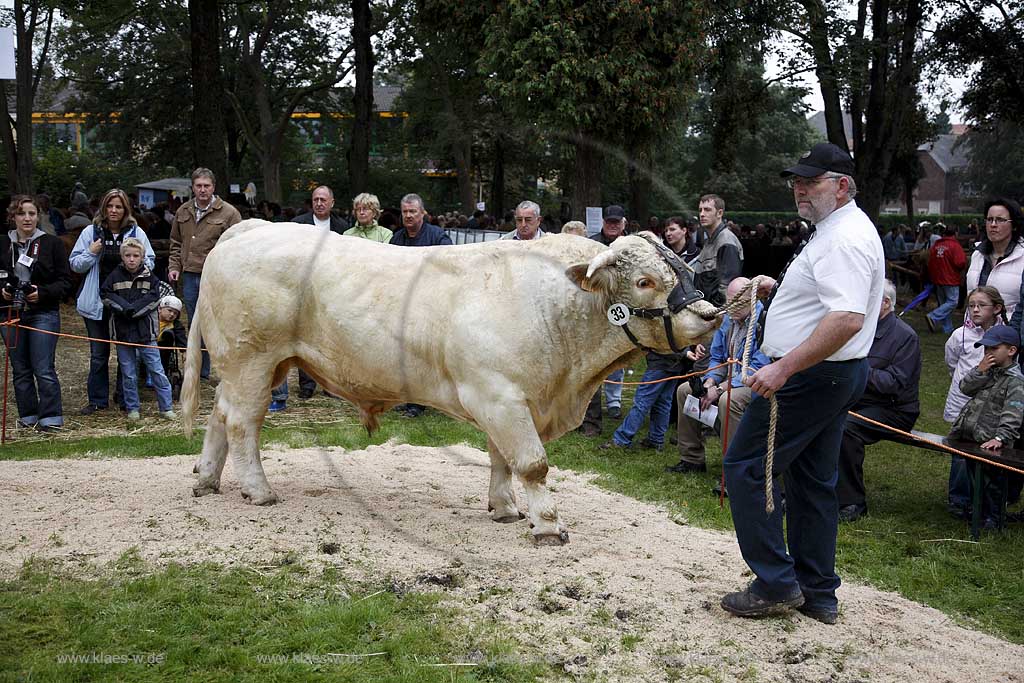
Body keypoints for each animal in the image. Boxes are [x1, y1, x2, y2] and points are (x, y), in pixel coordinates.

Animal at [186, 222, 729, 548]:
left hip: (250, 366)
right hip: (253, 362)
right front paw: (548, 525)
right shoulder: (499, 395)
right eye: (644, 282)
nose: (709, 314)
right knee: (243, 423)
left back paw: (207, 480)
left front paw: (505, 509)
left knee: (218, 416)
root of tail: (249, 226)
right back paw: (258, 490)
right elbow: (532, 463)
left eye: (682, 267)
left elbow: (501, 459)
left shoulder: (508, 400)